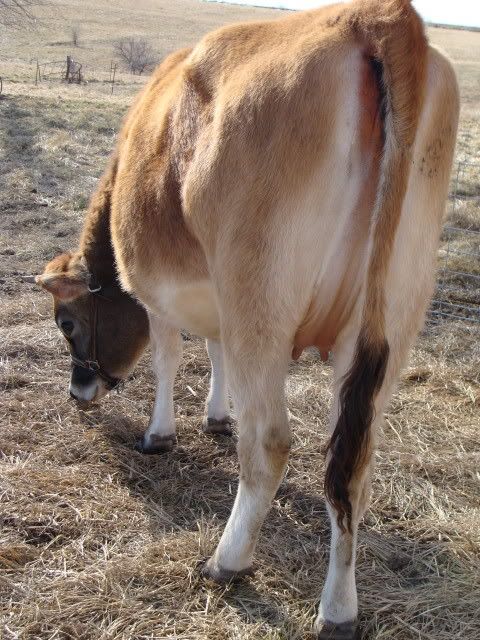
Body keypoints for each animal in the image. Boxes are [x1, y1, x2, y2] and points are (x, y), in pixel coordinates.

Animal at [36, 0, 459, 636]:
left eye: (67, 322)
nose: (77, 392)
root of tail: (378, 16)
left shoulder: (161, 295)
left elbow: (168, 358)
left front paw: (160, 433)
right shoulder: (217, 301)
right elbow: (214, 352)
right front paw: (216, 416)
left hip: (258, 295)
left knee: (271, 442)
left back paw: (227, 559)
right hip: (393, 312)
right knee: (351, 466)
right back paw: (339, 608)